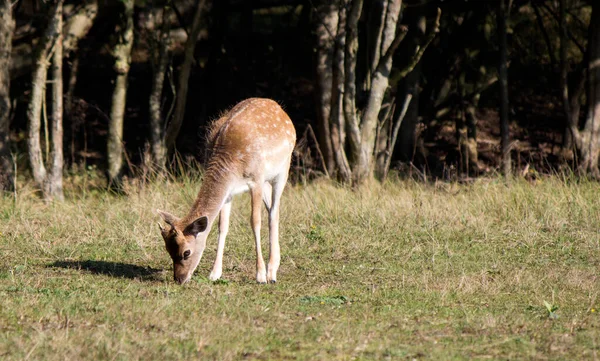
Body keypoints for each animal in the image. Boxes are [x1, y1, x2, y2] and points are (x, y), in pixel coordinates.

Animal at [156, 97, 294, 284]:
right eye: (167, 250)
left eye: (186, 252)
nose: (179, 279)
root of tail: (279, 107)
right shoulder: (230, 191)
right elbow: (222, 226)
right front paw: (214, 273)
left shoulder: (256, 180)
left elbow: (255, 222)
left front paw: (260, 275)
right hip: (267, 180)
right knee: (273, 209)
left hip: (283, 169)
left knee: (274, 211)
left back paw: (271, 273)